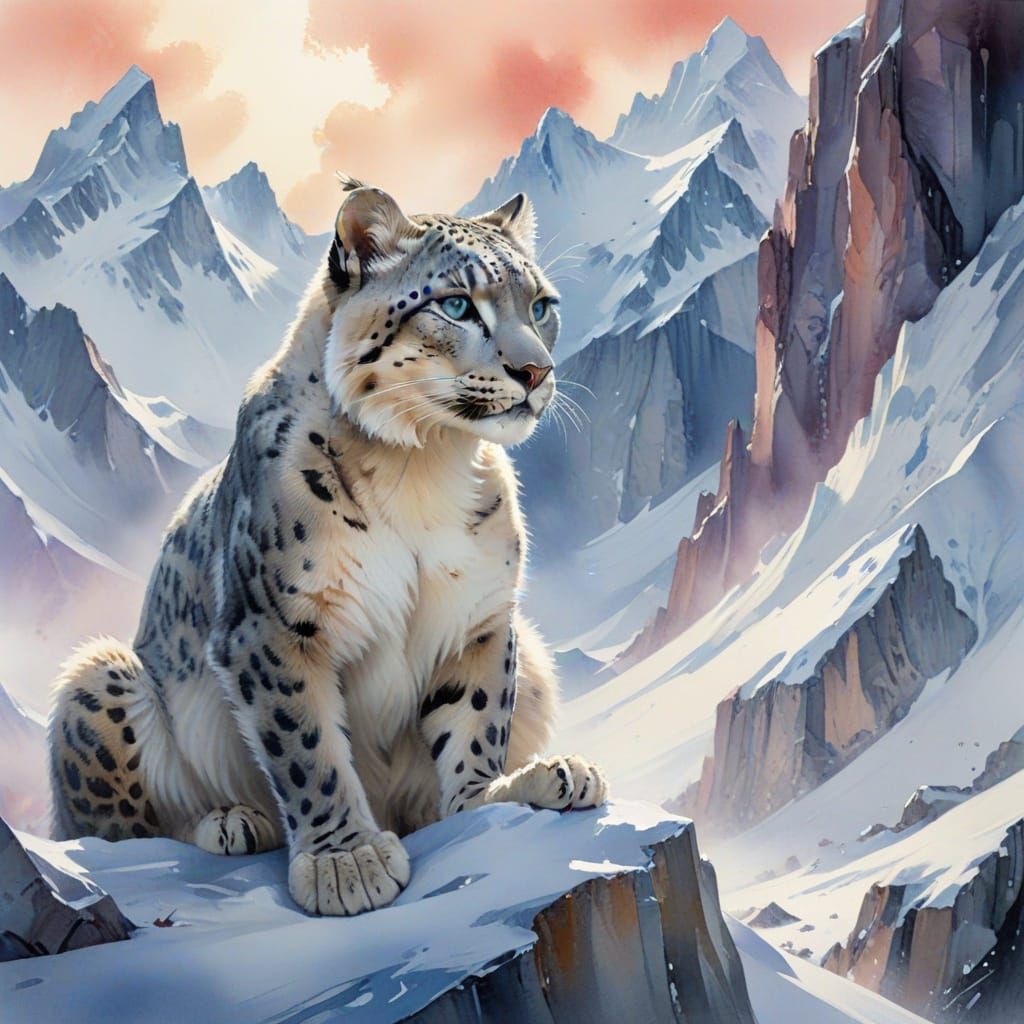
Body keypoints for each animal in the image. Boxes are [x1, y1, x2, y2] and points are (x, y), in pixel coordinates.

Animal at [48, 180, 607, 916]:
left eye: (541, 306)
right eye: (457, 304)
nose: (536, 371)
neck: (424, 468)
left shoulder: (480, 616)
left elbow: (477, 716)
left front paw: (488, 793)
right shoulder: (271, 628)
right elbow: (307, 745)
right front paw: (346, 862)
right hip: (100, 676)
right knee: (117, 831)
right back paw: (230, 820)